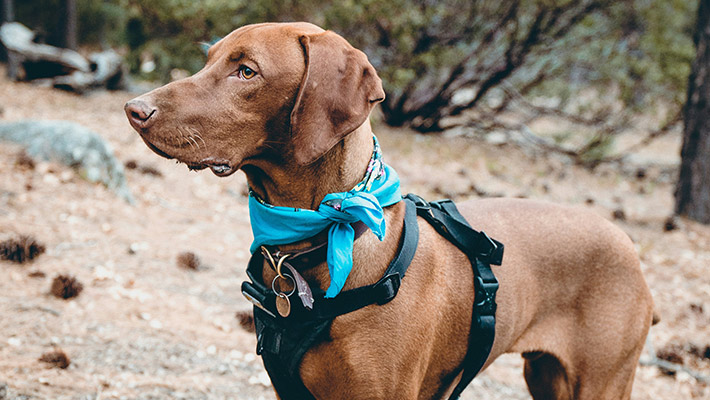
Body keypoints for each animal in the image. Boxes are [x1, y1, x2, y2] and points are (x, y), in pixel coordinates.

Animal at [126, 22, 656, 400]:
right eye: (208, 60)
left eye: (246, 71)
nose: (135, 110)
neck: (323, 233)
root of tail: (627, 243)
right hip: (548, 378)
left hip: (601, 383)